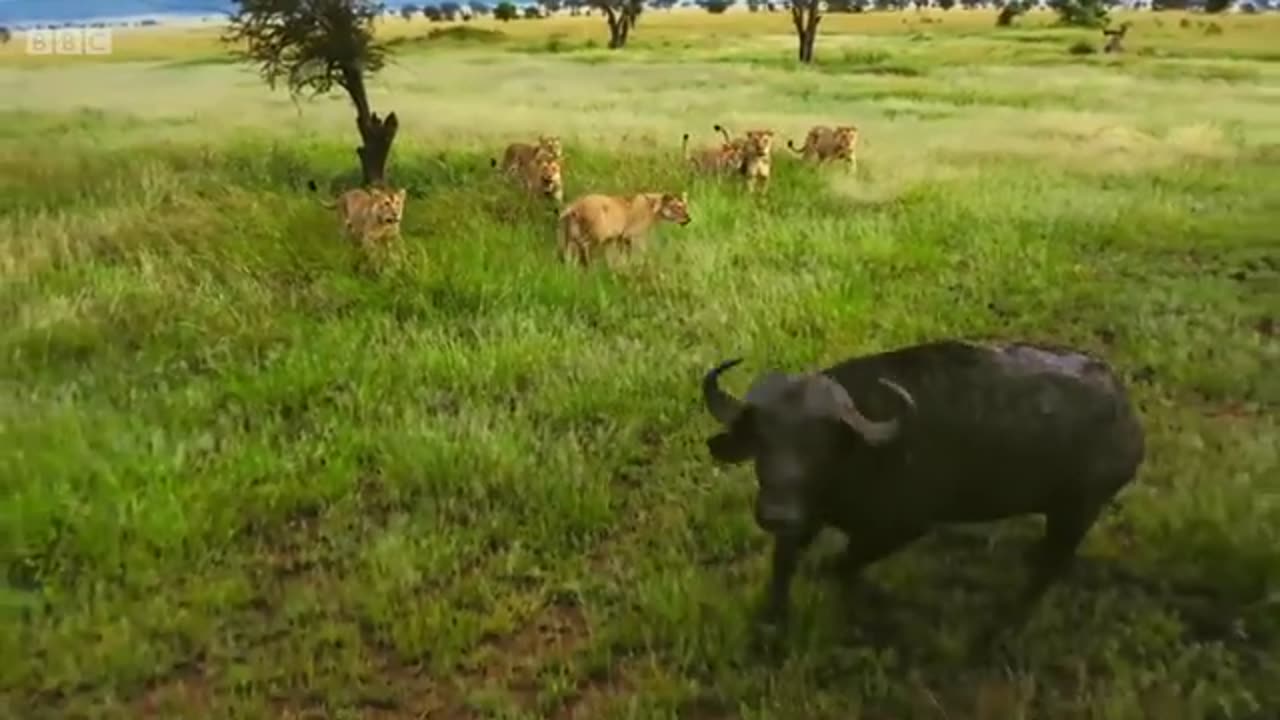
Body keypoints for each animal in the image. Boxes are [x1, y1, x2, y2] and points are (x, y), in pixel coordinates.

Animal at [558, 189, 691, 267]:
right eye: (677, 207)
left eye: (685, 206)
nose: (688, 219)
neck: (653, 208)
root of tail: (575, 205)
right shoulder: (635, 237)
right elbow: (639, 253)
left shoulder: (620, 238)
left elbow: (620, 257)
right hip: (593, 237)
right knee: (585, 253)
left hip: (568, 239)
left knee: (569, 257)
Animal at [701, 338, 1152, 640]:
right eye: (762, 440)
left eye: (821, 444)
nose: (777, 513)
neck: (862, 459)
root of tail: (1127, 412)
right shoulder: (805, 518)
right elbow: (785, 565)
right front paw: (771, 621)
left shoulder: (903, 528)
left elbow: (842, 564)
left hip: (1077, 510)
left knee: (1047, 571)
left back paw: (995, 632)